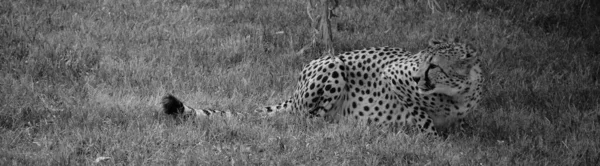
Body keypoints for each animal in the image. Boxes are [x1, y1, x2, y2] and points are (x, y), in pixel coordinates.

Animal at [163, 37, 482, 136]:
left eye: (434, 66)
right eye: (421, 62)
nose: (418, 79)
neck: (455, 94)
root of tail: (293, 96)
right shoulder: (393, 75)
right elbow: (420, 113)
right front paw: (432, 137)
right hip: (333, 64)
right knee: (308, 122)